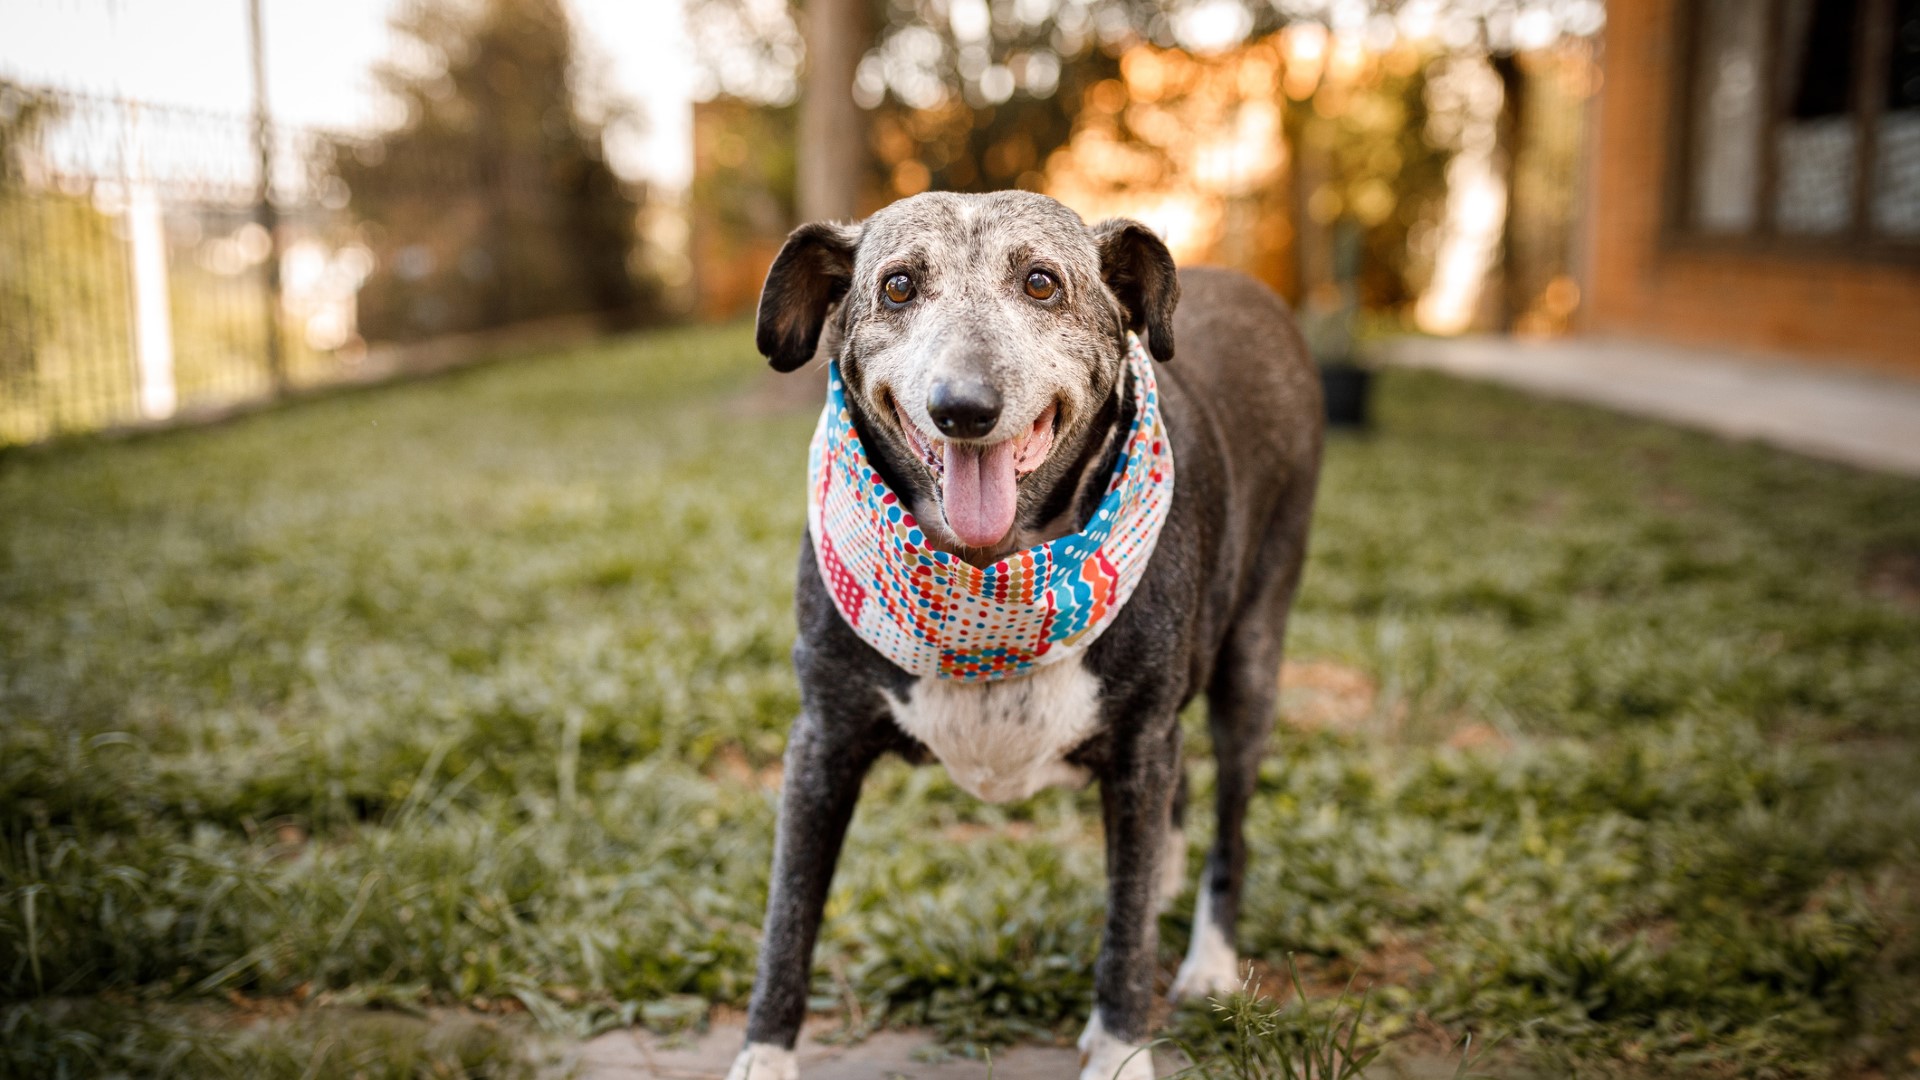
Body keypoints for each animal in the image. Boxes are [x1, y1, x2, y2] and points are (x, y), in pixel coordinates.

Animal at [729, 191, 1320, 1076]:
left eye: (1041, 282)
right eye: (899, 285)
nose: (964, 407)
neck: (989, 579)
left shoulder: (1141, 743)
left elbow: (1124, 940)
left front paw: (1121, 1049)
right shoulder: (821, 742)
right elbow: (787, 919)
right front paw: (764, 1054)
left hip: (1252, 658)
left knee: (1230, 826)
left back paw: (1209, 959)